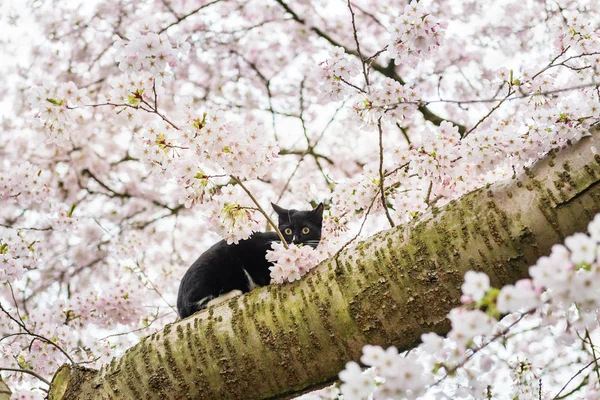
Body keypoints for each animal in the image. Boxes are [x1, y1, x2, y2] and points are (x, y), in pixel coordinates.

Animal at [176, 203, 324, 318]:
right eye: (287, 231)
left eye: (306, 230)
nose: (295, 241)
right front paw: (276, 278)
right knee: (196, 305)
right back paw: (232, 293)